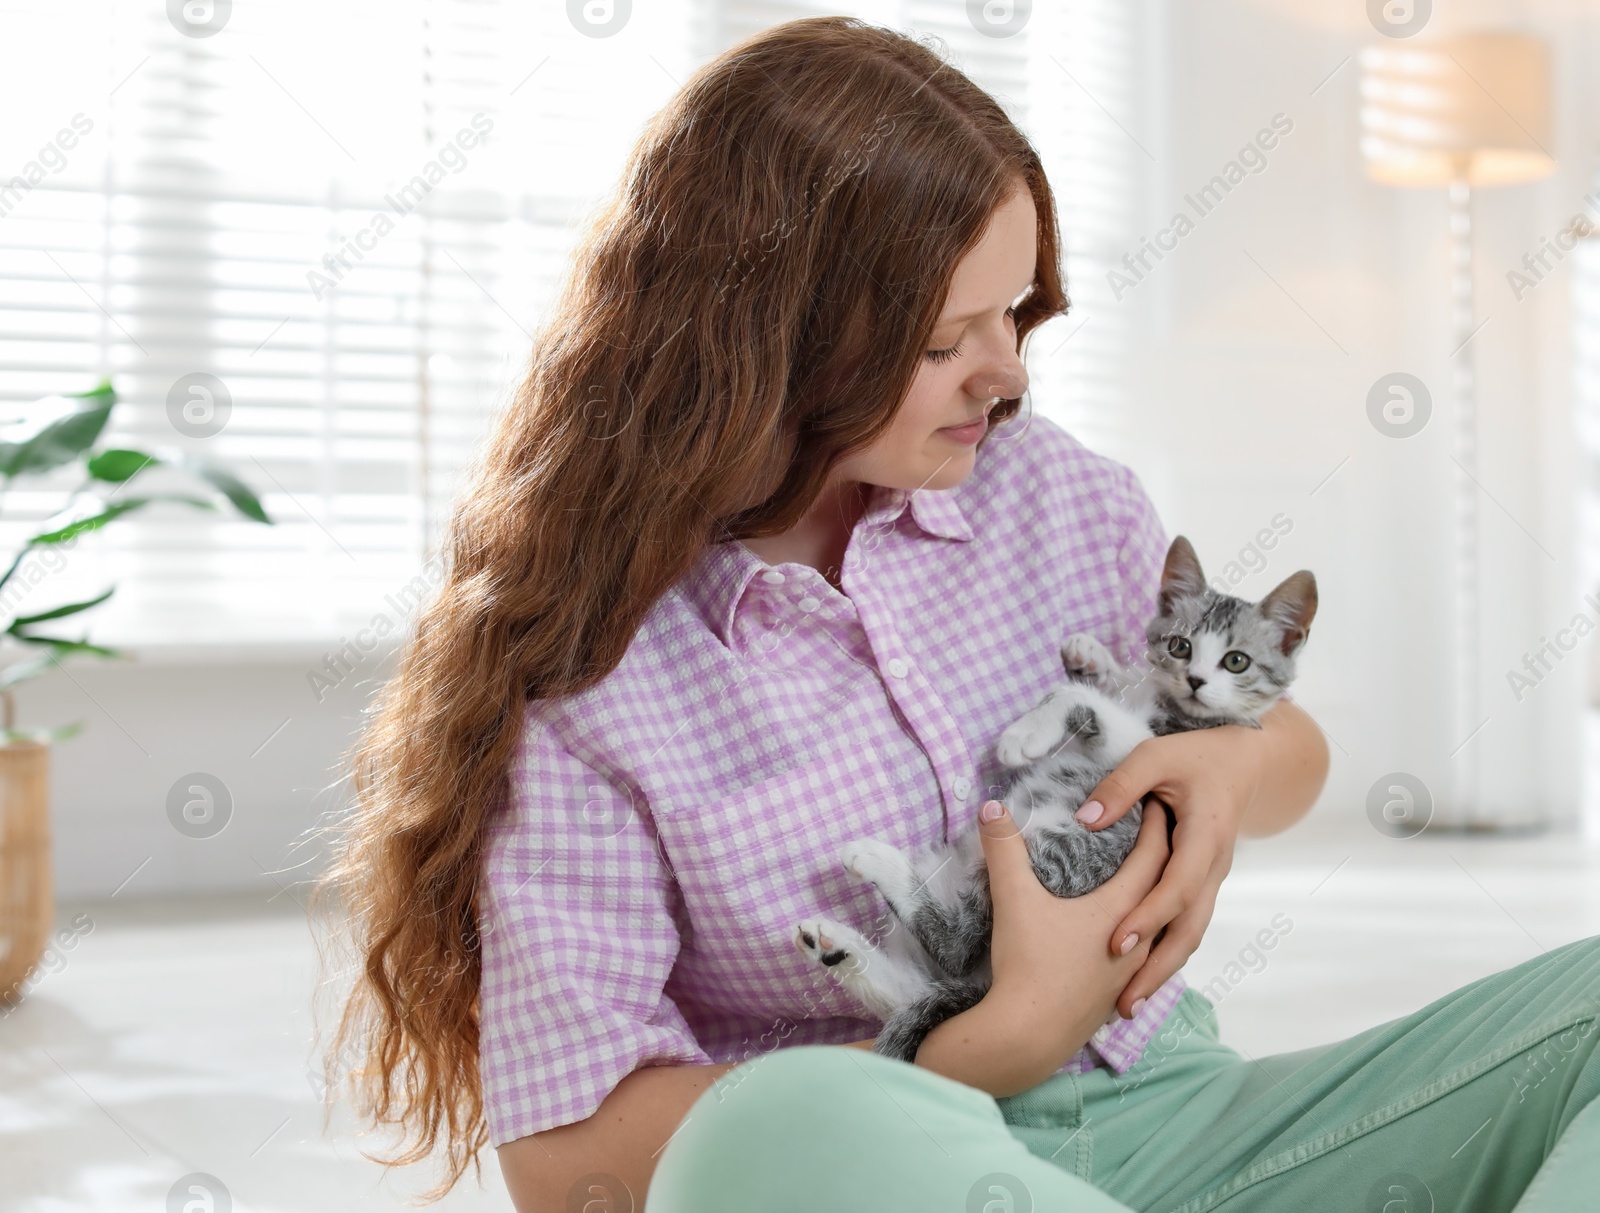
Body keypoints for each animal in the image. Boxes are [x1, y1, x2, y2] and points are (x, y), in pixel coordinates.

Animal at [793, 537, 1318, 1062]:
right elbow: (1109, 686)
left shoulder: (1161, 747)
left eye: (1236, 661)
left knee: (955, 948)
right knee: (917, 988)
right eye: (1180, 646)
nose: (1195, 681)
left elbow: (1076, 699)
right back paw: (837, 947)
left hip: (1051, 850)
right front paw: (1091, 655)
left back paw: (876, 871)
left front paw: (1028, 730)